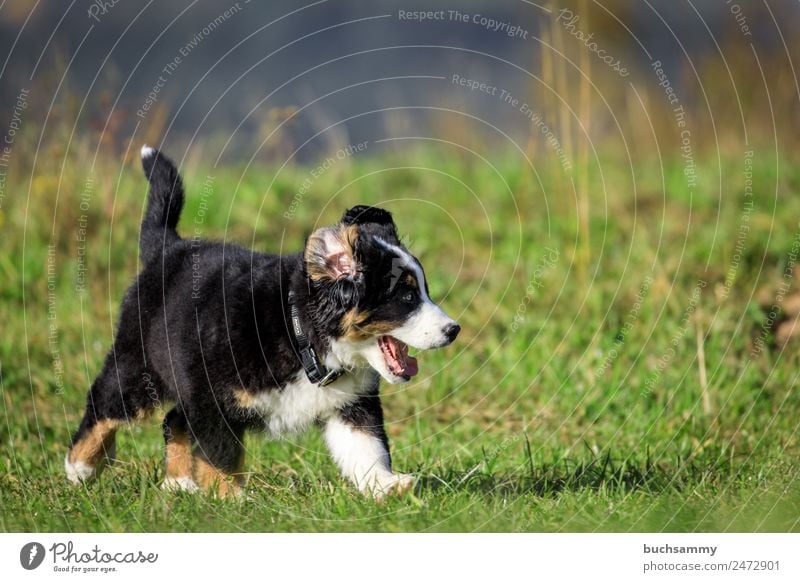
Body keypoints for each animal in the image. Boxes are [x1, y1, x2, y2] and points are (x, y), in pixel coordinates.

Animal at [65, 147, 460, 502]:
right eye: (406, 296)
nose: (453, 330)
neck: (302, 335)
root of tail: (166, 248)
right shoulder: (212, 399)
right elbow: (221, 454)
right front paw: (233, 500)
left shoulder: (350, 403)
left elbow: (366, 448)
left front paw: (387, 486)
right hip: (138, 364)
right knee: (105, 405)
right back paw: (79, 468)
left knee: (173, 419)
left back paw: (179, 483)